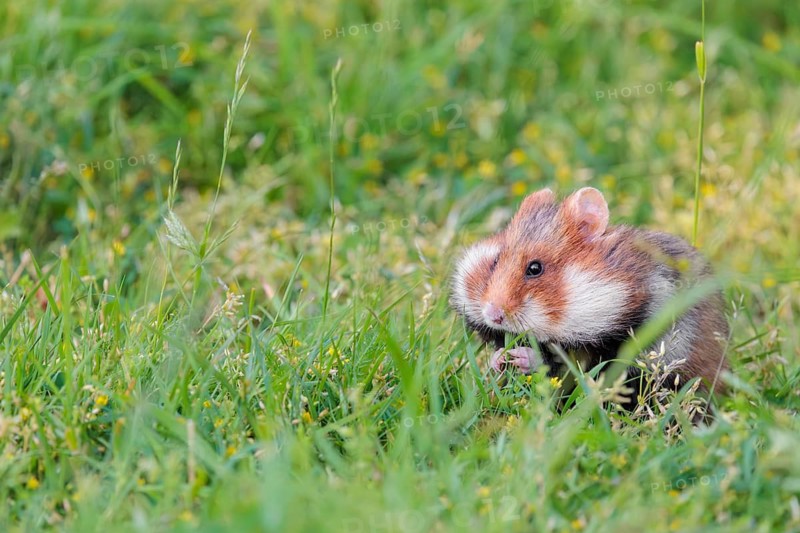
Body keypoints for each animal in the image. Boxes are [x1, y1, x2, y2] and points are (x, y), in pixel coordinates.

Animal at [450, 187, 729, 399]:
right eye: (495, 261)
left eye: (535, 268)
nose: (493, 314)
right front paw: (498, 359)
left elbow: (564, 361)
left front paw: (521, 356)